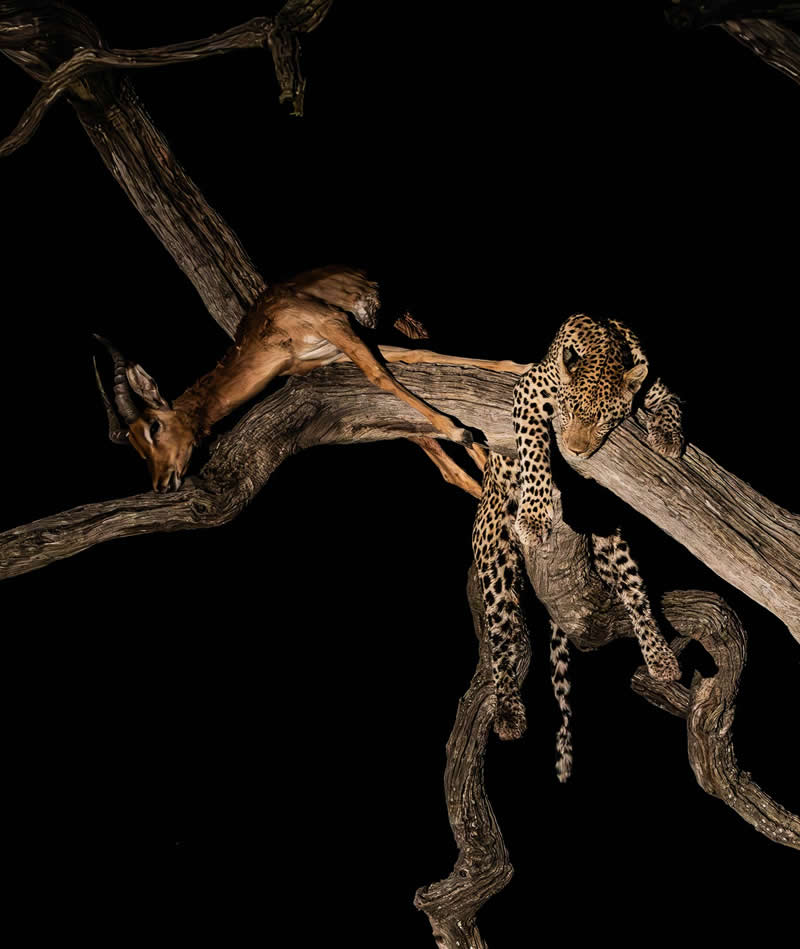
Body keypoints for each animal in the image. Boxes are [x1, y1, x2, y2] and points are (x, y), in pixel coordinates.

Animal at [471, 314, 684, 781]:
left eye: (605, 419)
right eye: (567, 410)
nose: (576, 450)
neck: (606, 344)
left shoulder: (660, 389)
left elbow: (675, 407)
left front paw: (668, 437)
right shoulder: (529, 392)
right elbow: (533, 450)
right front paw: (534, 514)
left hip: (610, 541)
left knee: (635, 593)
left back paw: (660, 657)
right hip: (492, 551)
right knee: (500, 633)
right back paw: (509, 711)